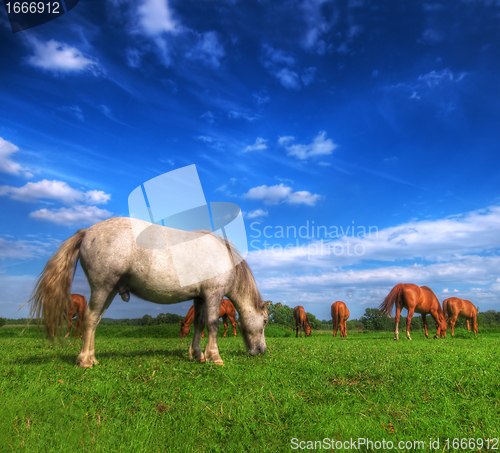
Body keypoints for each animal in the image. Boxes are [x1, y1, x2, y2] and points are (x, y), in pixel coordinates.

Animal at [26, 216, 270, 368]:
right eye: (266, 321)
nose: (262, 351)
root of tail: (88, 232)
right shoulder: (213, 294)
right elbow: (212, 325)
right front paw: (214, 357)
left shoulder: (200, 298)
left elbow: (199, 325)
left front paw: (197, 354)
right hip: (102, 287)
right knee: (90, 319)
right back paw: (85, 360)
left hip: (109, 291)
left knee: (94, 322)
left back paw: (92, 358)